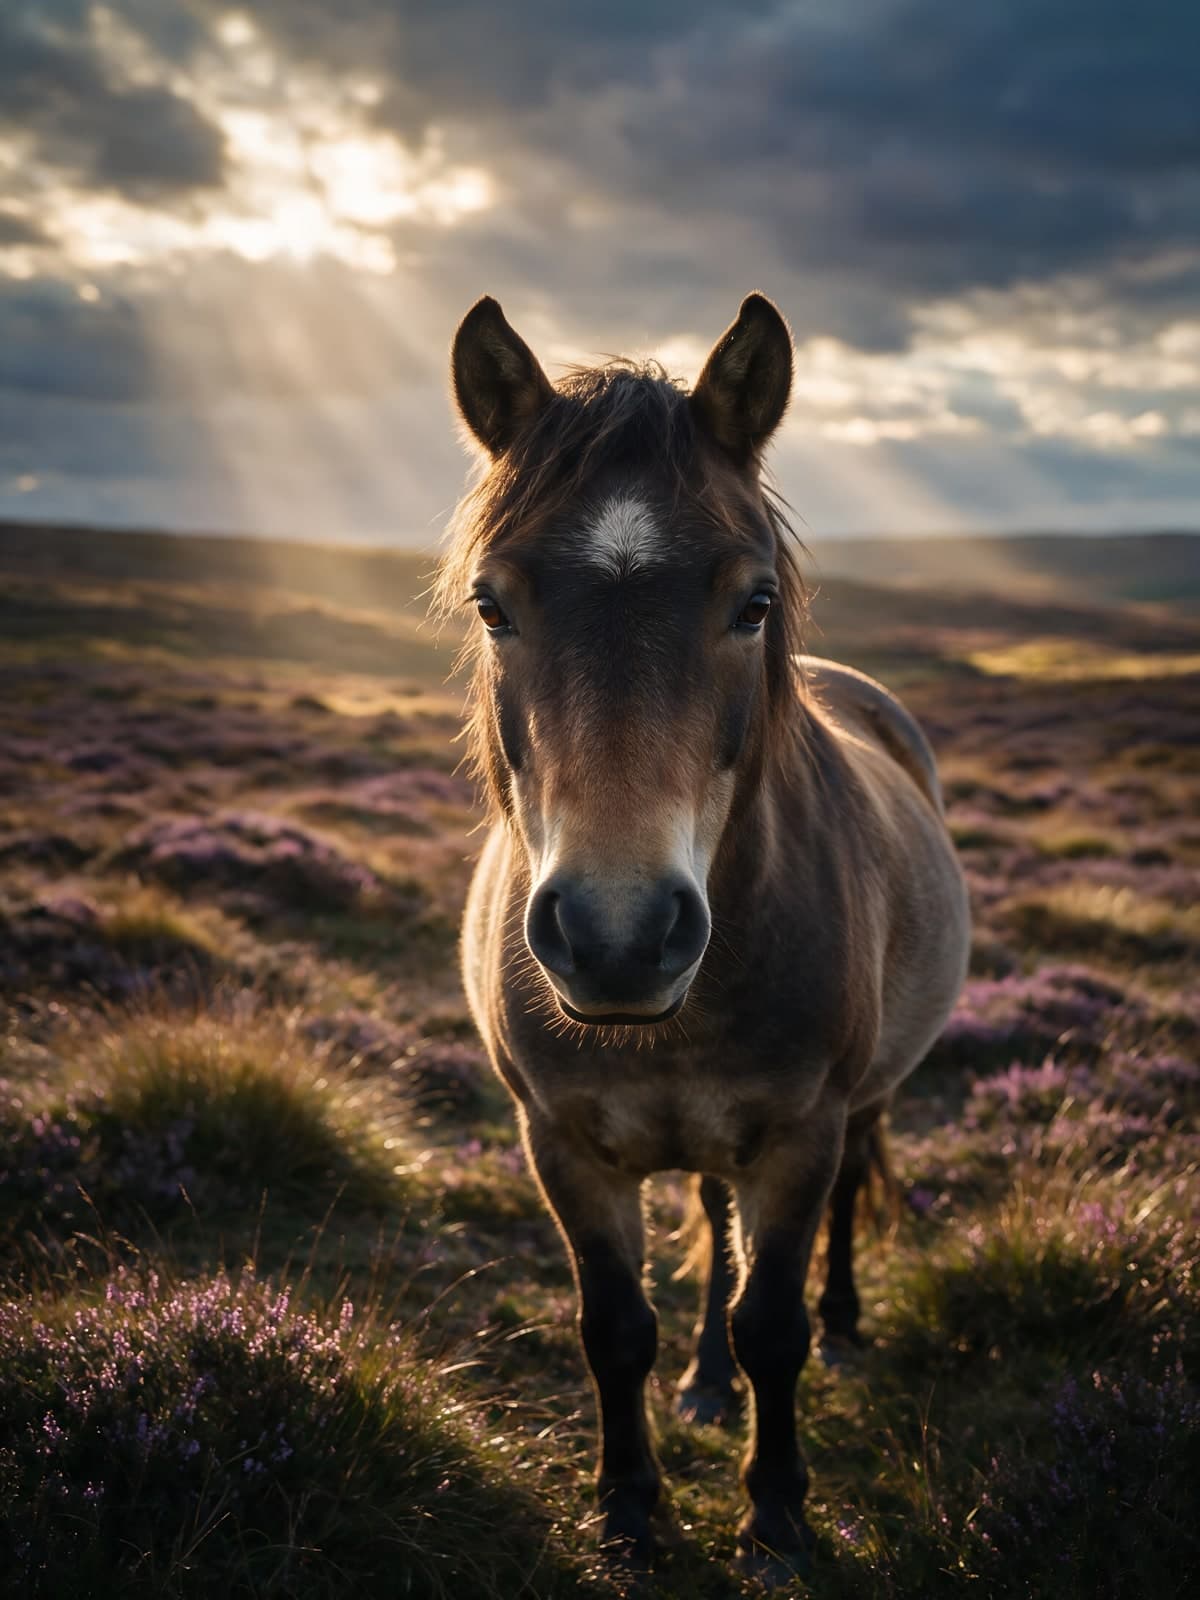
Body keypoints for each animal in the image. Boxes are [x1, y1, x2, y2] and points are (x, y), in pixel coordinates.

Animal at [439, 291, 970, 1581]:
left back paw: (844, 1326)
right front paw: (631, 1507)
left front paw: (774, 1514)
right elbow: (614, 1327)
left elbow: (772, 1320)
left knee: (833, 1213)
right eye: (492, 602)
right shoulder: (561, 1142)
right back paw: (706, 1384)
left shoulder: (799, 1132)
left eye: (753, 602)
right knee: (716, 1231)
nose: (618, 934)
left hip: (863, 1103)